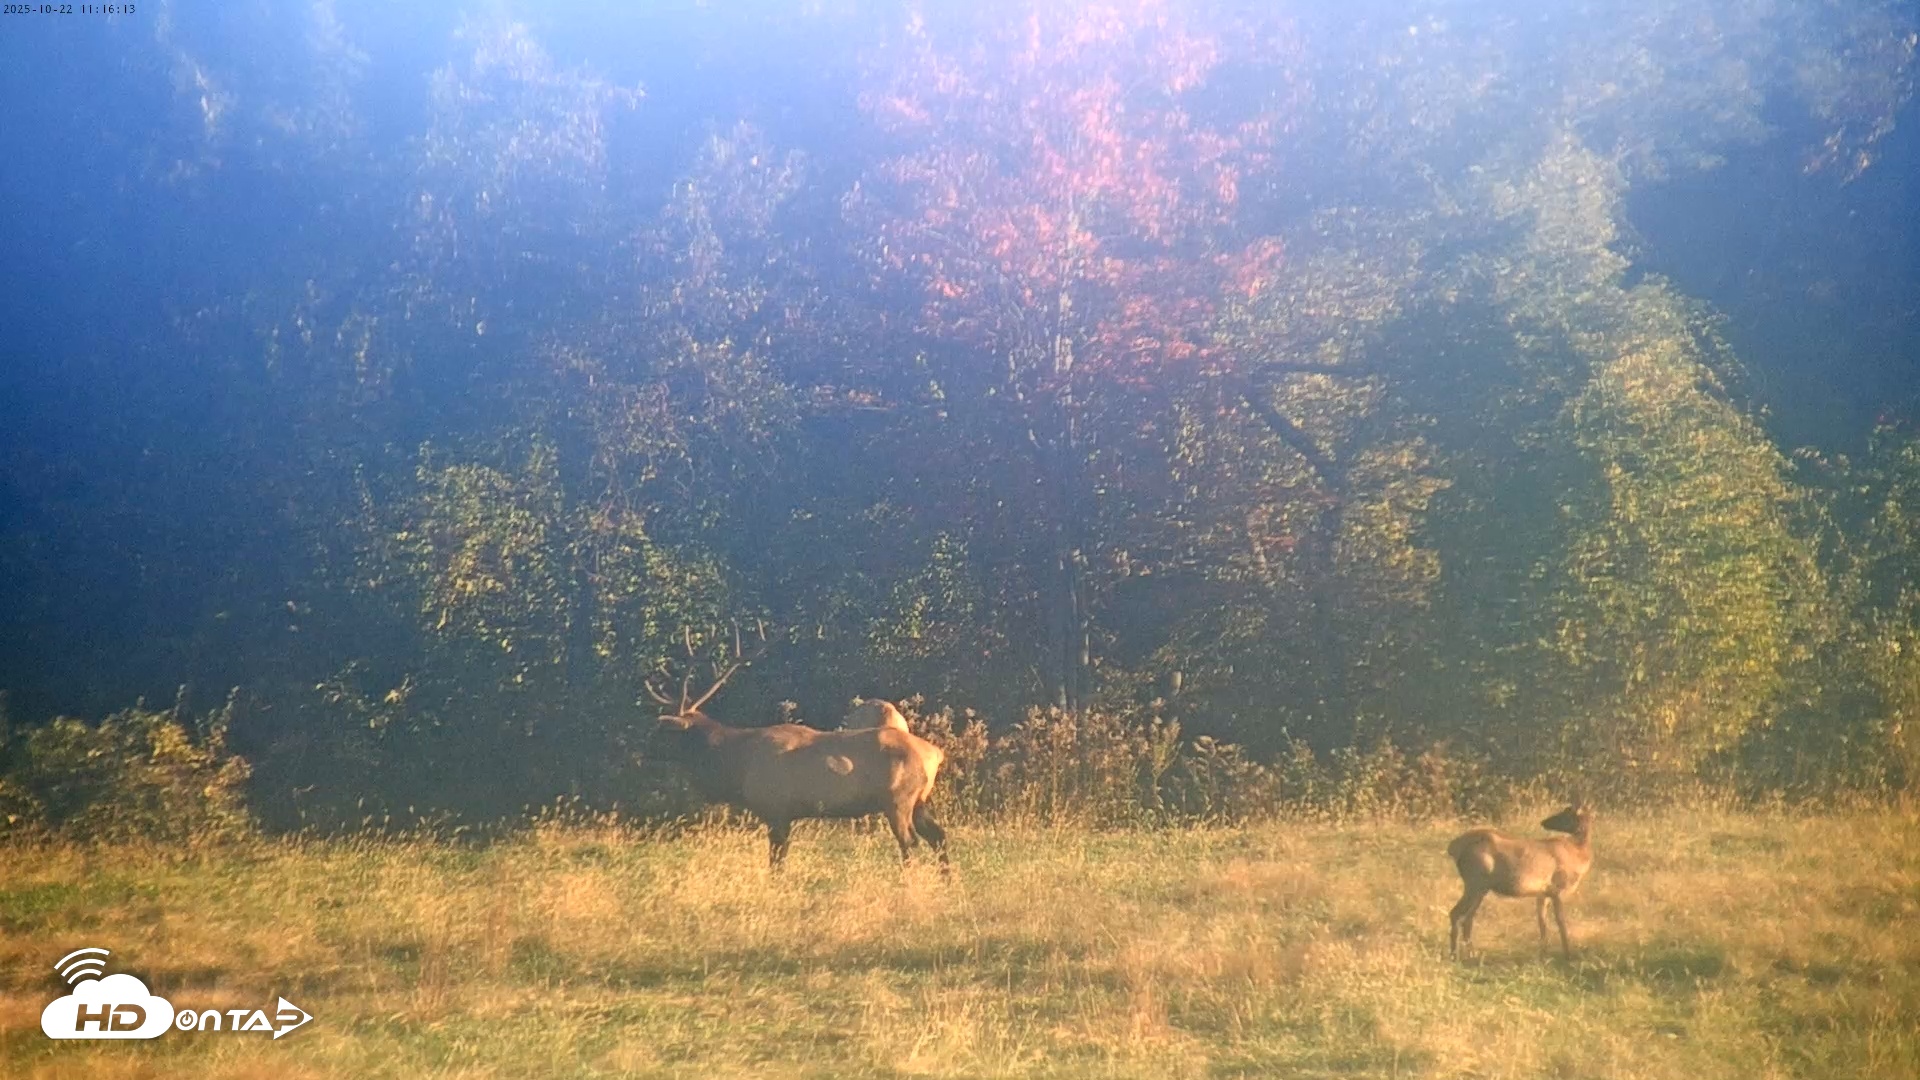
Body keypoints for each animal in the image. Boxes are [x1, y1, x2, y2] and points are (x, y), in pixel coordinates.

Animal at [645, 663, 950, 874]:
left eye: (662, 730)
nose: (643, 749)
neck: (738, 766)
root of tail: (936, 754)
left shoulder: (776, 810)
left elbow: (776, 861)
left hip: (898, 799)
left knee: (910, 841)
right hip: (919, 800)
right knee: (938, 836)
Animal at [1447, 804, 1594, 960]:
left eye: (1565, 813)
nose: (1543, 822)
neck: (1578, 853)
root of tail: (1453, 847)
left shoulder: (1543, 893)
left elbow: (1542, 922)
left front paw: (1543, 954)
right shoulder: (1557, 888)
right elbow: (1561, 922)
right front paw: (1567, 955)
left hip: (1481, 889)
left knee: (1468, 918)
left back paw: (1471, 955)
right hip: (1474, 883)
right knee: (1456, 913)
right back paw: (1454, 956)